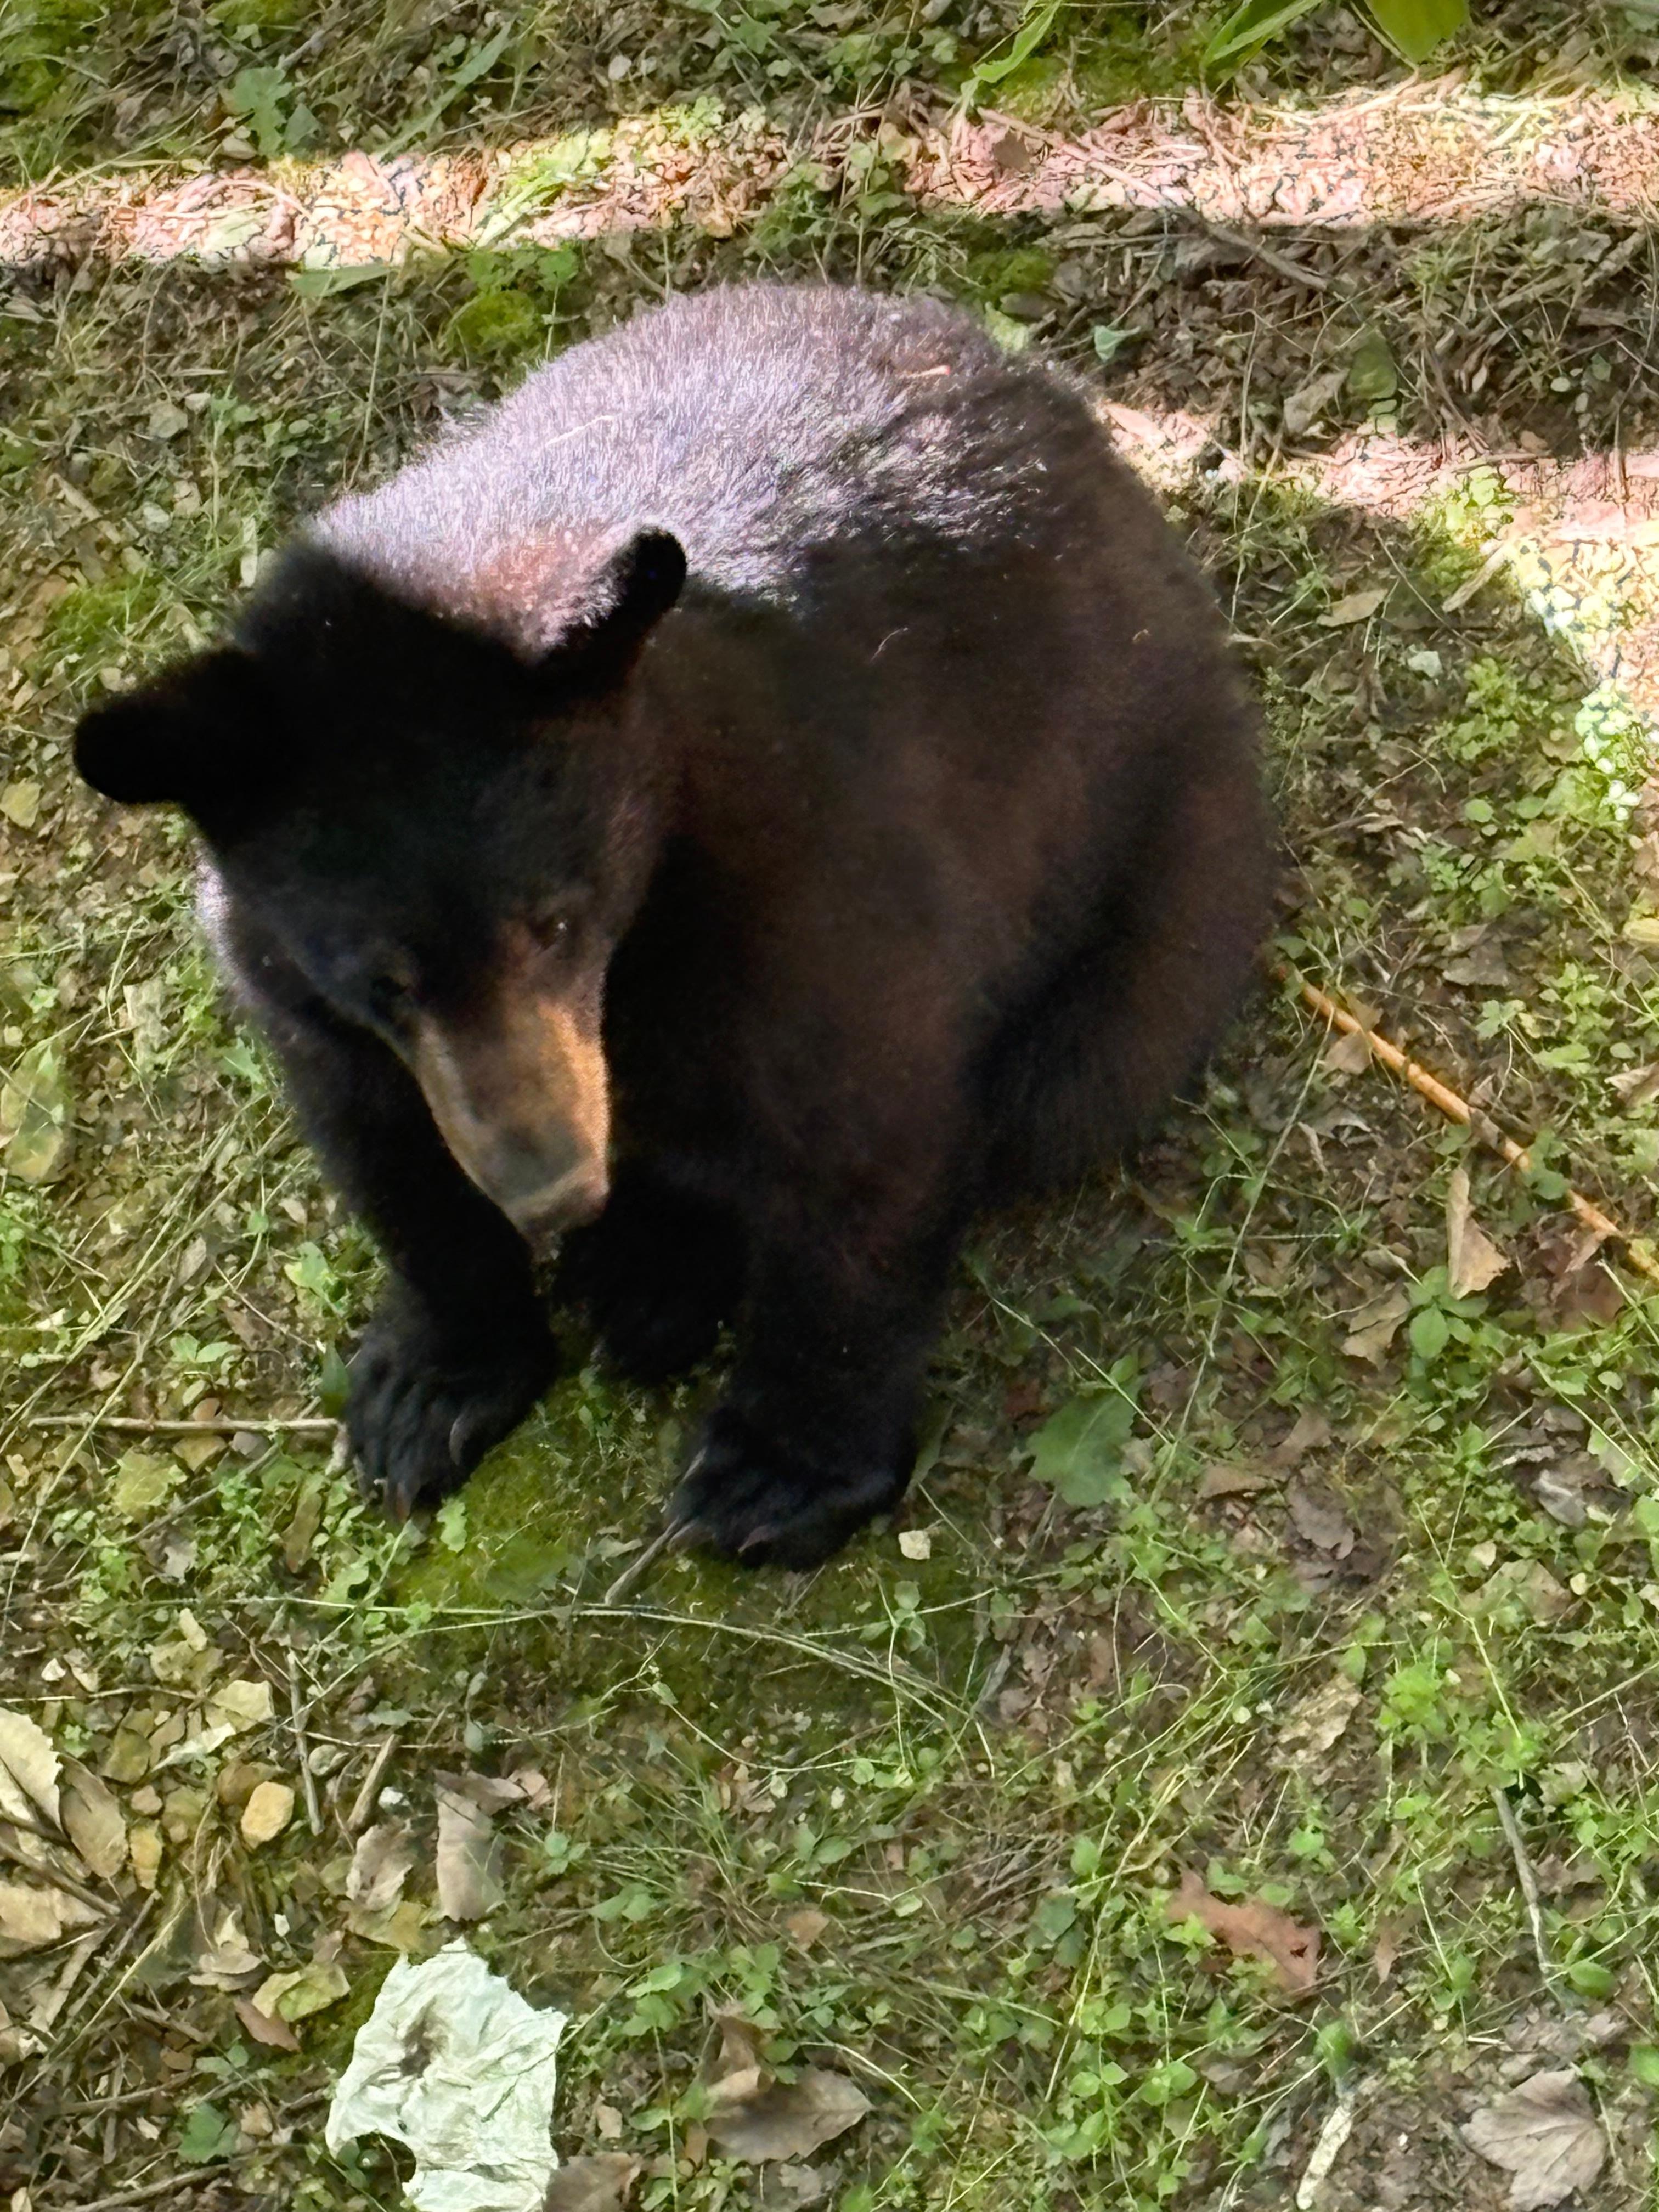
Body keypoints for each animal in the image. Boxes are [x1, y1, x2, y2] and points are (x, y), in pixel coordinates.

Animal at [74, 282, 1272, 1569]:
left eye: (555, 921)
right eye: (383, 979)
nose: (550, 1186)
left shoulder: (805, 865)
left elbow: (861, 1135)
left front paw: (773, 1474)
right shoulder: (287, 977)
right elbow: (385, 1144)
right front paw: (428, 1388)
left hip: (1156, 910)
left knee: (1056, 1085)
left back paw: (653, 1269)